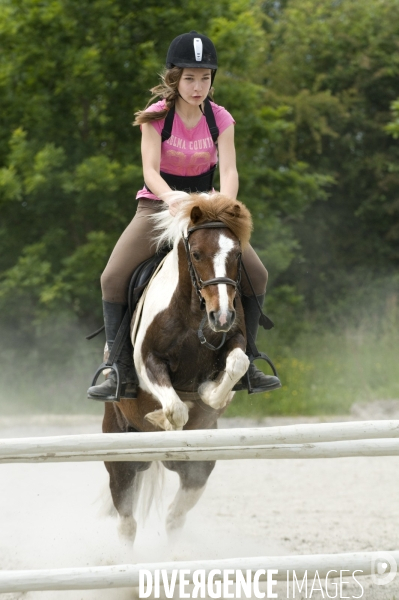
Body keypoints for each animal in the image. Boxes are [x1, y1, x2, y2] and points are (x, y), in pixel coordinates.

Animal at [103, 193, 253, 544]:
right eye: (196, 254)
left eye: (237, 255)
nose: (221, 316)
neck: (193, 311)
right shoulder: (148, 362)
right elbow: (176, 409)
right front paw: (160, 419)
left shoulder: (235, 340)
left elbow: (237, 363)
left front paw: (210, 392)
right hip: (120, 460)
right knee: (127, 523)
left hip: (199, 468)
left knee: (174, 517)